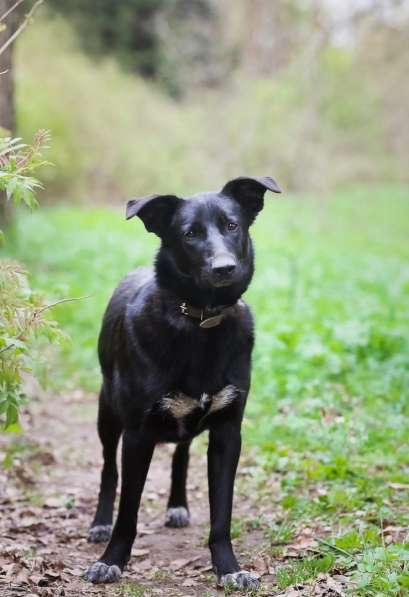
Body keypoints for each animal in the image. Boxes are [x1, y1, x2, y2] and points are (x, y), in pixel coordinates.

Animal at [83, 175, 280, 588]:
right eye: (189, 234)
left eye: (232, 226)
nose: (225, 268)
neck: (201, 321)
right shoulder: (138, 435)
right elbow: (128, 511)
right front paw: (112, 560)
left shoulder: (227, 433)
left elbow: (221, 514)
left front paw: (229, 568)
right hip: (108, 413)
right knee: (109, 469)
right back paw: (100, 522)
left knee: (181, 453)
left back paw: (177, 504)